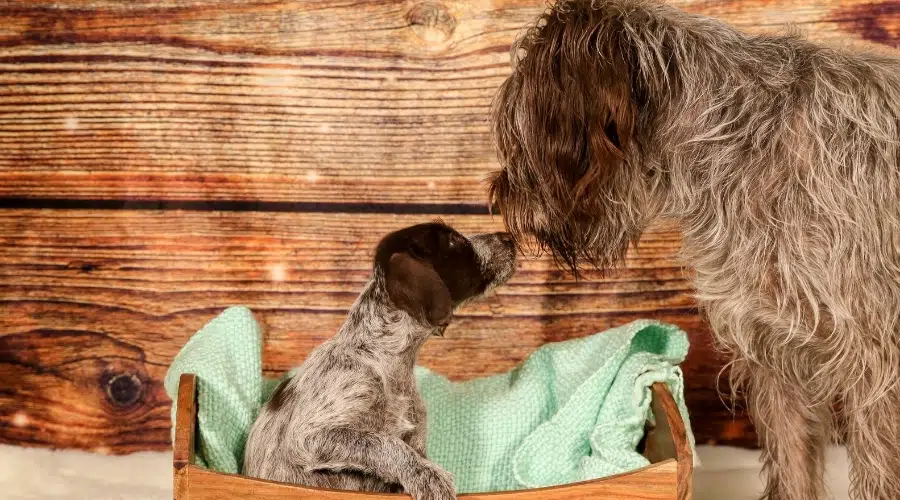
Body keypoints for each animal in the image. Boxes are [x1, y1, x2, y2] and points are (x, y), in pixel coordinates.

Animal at [243, 223, 516, 500]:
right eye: (453, 241)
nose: (509, 237)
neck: (386, 359)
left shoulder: (415, 438)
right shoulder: (309, 436)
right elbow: (385, 442)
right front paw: (429, 476)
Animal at [488, 1, 900, 498]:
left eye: (521, 132)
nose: (498, 199)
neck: (745, 141)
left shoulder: (876, 370)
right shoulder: (775, 351)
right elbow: (791, 467)